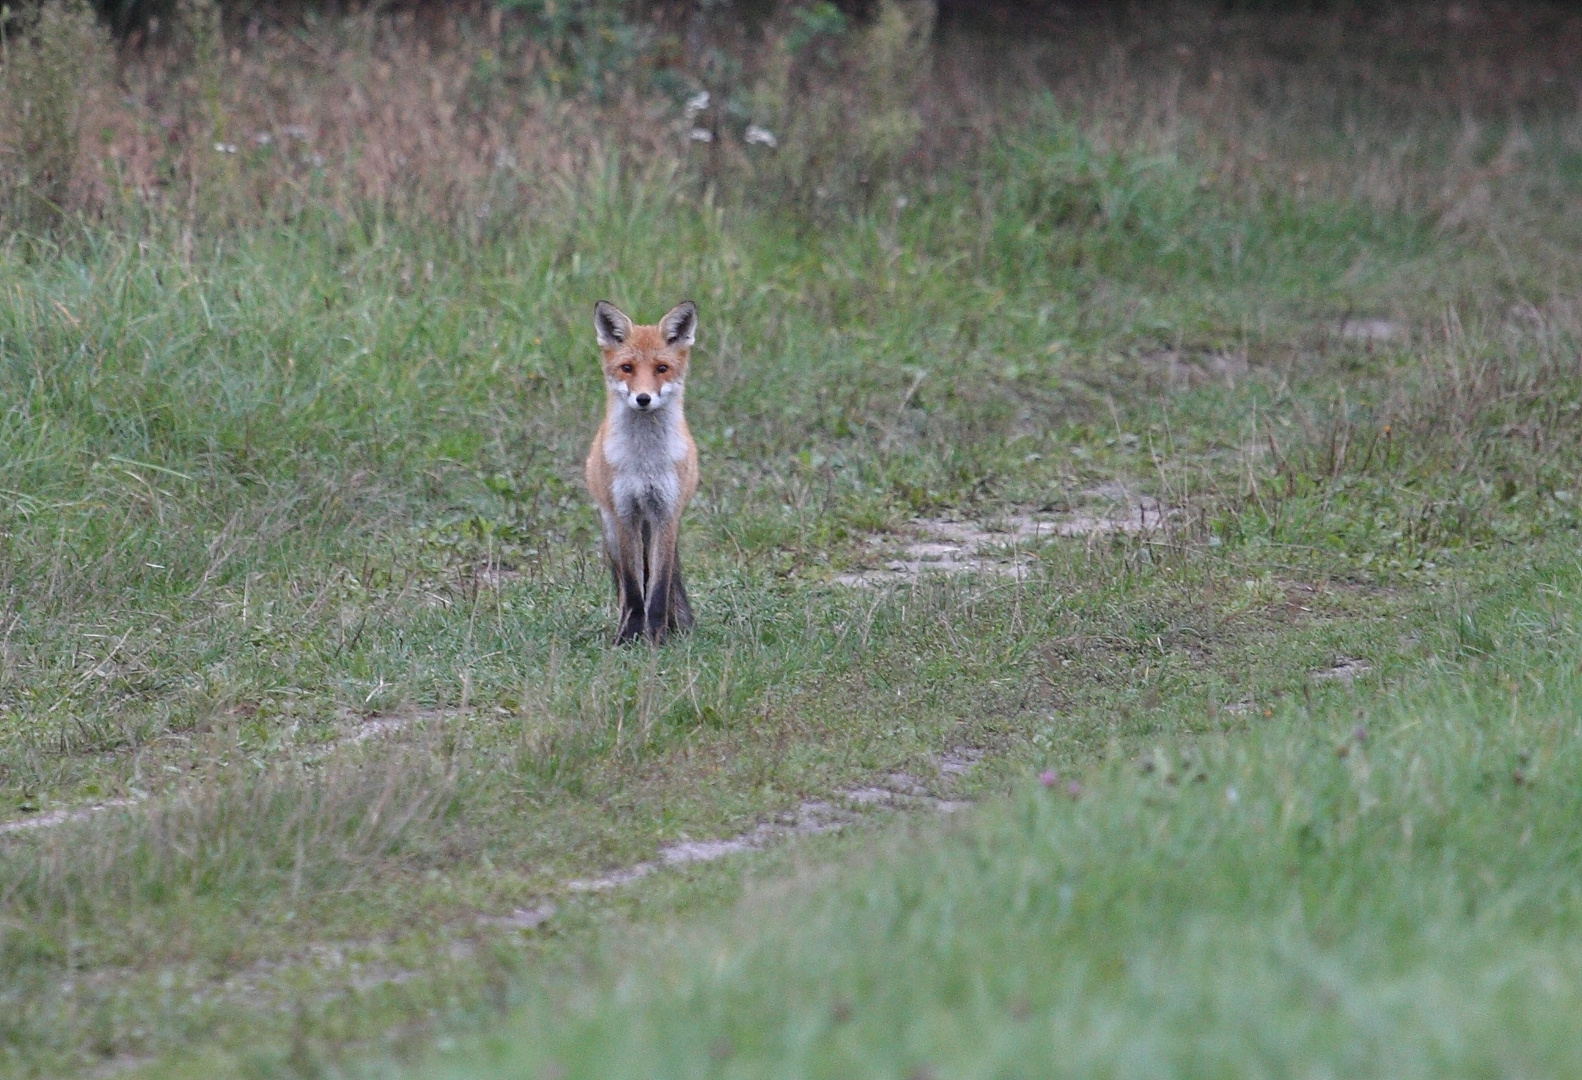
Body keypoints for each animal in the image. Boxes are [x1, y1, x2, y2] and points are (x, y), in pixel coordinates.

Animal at [585, 300, 702, 645]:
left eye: (661, 369)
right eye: (627, 368)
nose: (643, 398)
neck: (644, 462)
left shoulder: (666, 513)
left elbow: (659, 588)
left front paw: (658, 637)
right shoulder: (625, 514)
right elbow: (635, 589)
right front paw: (630, 637)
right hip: (612, 530)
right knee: (627, 588)